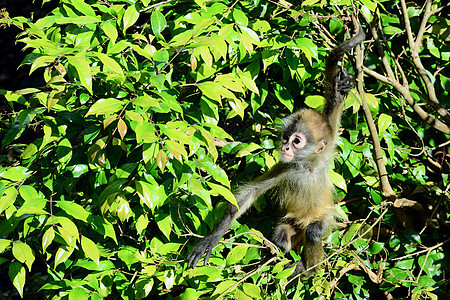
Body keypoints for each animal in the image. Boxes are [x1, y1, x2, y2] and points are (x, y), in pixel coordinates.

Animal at [186, 21, 366, 276]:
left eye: (297, 141)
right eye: (286, 137)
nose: (286, 147)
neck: (308, 167)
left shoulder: (327, 149)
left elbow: (333, 110)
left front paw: (340, 89)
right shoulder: (287, 167)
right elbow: (248, 195)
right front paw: (211, 239)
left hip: (320, 222)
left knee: (314, 232)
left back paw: (308, 268)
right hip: (290, 227)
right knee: (282, 236)